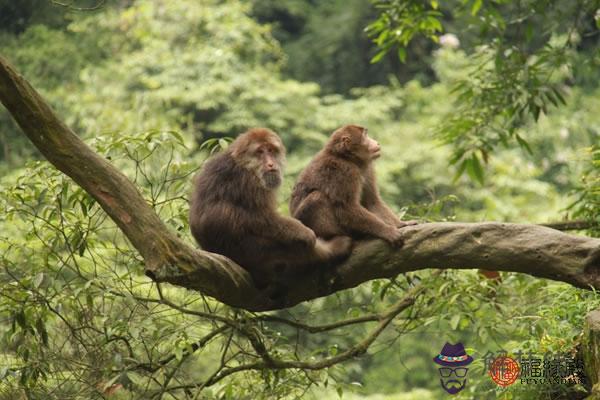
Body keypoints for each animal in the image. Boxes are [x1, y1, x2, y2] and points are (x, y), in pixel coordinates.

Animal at [189, 127, 352, 290]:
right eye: (260, 152)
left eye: (271, 150)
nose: (270, 164)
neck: (245, 165)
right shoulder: (249, 181)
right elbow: (262, 217)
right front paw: (305, 233)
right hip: (251, 252)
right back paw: (333, 249)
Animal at [290, 123, 418, 245]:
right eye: (365, 136)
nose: (376, 142)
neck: (347, 158)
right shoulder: (345, 171)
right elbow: (348, 207)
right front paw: (387, 231)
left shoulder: (368, 167)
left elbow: (372, 201)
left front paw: (401, 224)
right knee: (317, 197)